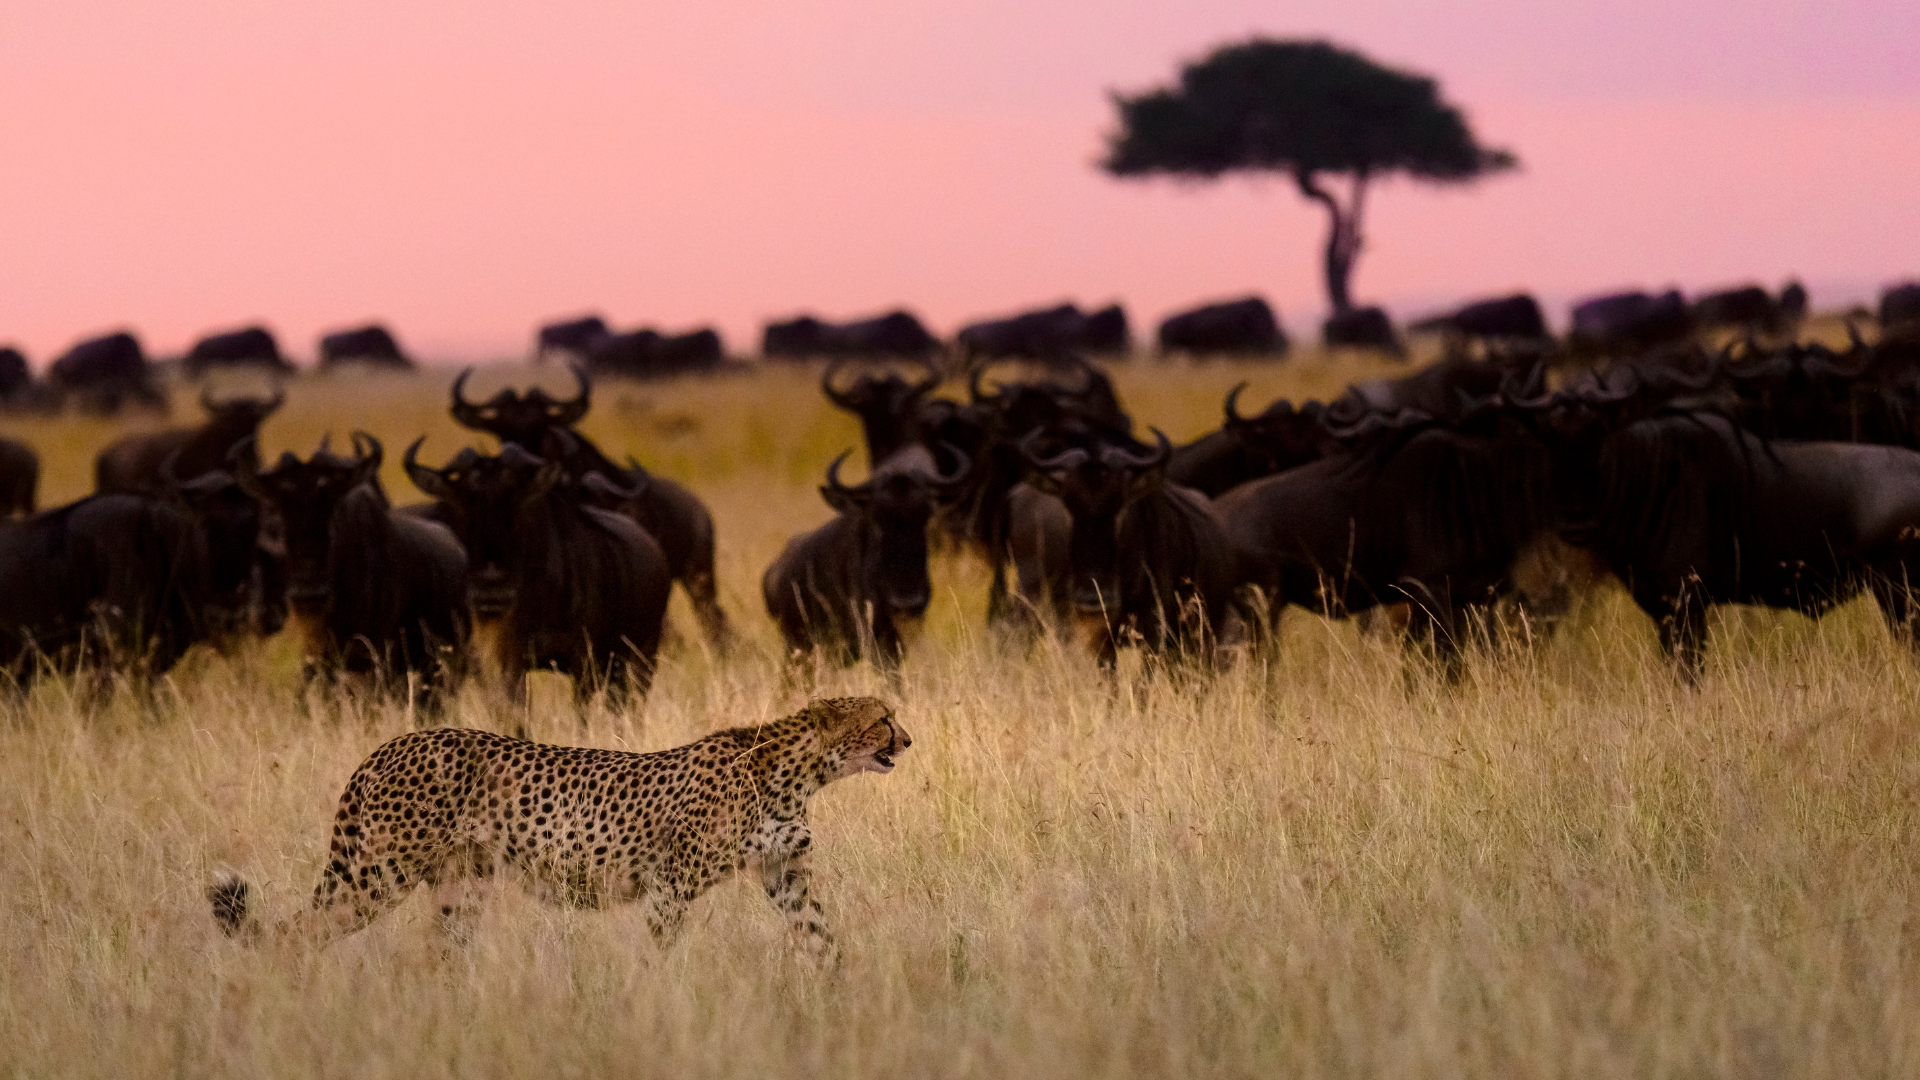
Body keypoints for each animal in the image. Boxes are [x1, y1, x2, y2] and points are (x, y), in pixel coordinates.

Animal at [206, 691, 910, 953]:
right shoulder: (671, 886)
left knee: (438, 955)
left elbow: (822, 937)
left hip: (460, 884)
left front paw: (840, 995)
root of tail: (390, 744)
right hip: (378, 873)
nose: (907, 741)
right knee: (300, 932)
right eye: (882, 719)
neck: (800, 772)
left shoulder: (784, 875)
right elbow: (662, 951)